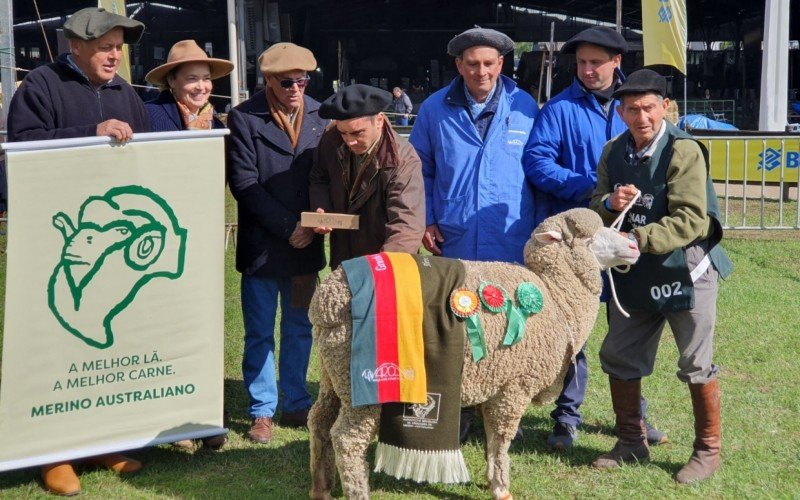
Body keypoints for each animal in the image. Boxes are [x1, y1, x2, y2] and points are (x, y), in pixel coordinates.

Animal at [310, 209, 640, 498]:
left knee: (319, 421)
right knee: (348, 439)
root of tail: (327, 300)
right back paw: (357, 491)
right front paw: (501, 487)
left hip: (333, 373)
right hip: (365, 384)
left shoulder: (494, 384)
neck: (556, 298)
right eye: (588, 238)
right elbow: (501, 439)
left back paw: (321, 488)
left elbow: (492, 441)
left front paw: (491, 477)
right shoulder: (515, 386)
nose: (634, 244)